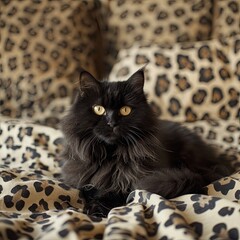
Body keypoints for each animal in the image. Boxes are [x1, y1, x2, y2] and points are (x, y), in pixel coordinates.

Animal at [59, 68, 232, 218]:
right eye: (99, 109)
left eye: (125, 110)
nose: (112, 123)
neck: (110, 156)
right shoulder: (81, 178)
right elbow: (87, 190)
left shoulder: (133, 180)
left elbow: (113, 193)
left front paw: (96, 208)